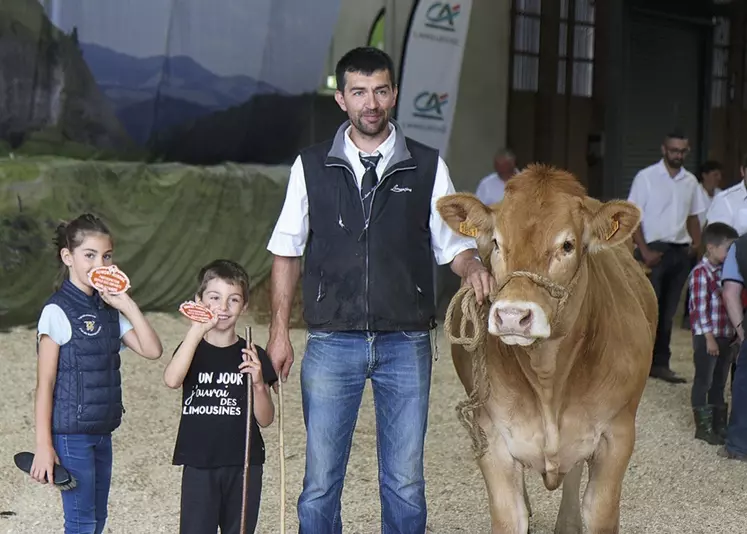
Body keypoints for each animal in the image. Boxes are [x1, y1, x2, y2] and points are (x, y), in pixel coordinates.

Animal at [438, 165, 656, 532]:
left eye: (567, 245)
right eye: (495, 243)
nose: (513, 315)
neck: (548, 380)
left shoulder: (617, 435)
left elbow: (599, 512)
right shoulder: (492, 439)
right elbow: (509, 517)